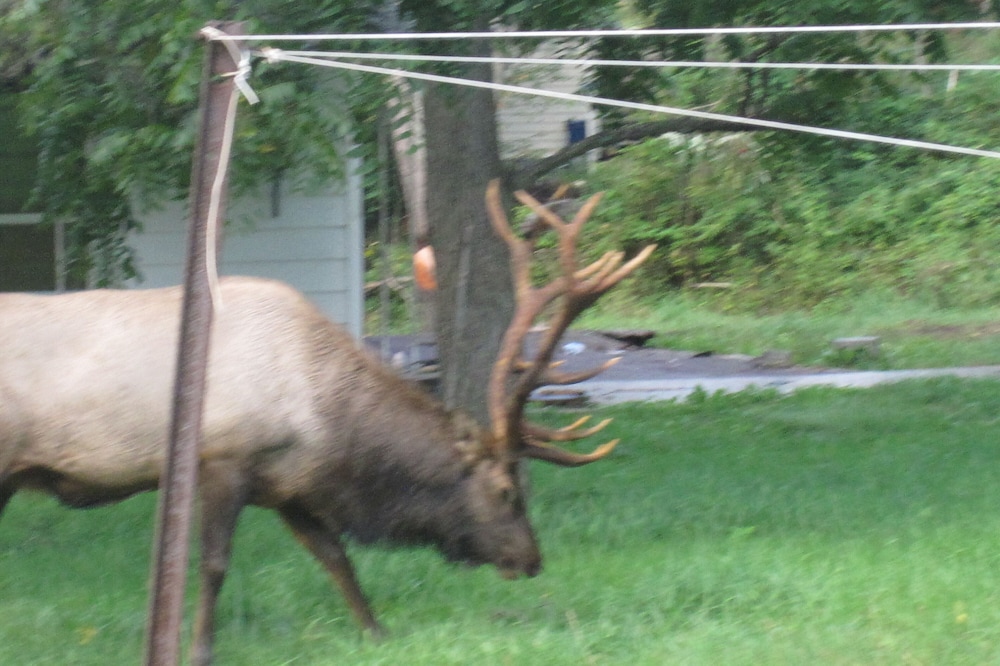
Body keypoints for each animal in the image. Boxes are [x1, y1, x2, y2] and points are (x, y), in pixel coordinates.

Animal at [0, 180, 654, 665]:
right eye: (505, 491)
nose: (531, 559)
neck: (327, 421)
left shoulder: (289, 483)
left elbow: (336, 556)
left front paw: (378, 633)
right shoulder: (224, 458)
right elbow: (214, 565)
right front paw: (199, 649)